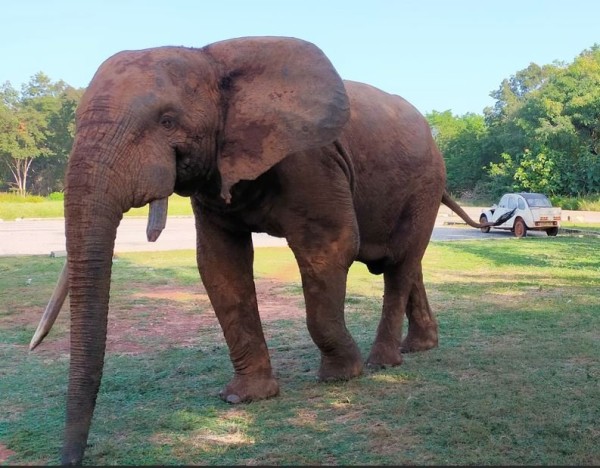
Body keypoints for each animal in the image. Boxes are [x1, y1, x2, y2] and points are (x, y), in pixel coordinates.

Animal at [29, 37, 492, 464]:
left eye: (167, 120)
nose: (71, 459)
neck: (211, 59)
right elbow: (219, 264)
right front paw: (244, 398)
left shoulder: (311, 160)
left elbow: (330, 246)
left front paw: (341, 376)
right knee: (408, 263)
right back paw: (420, 348)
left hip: (425, 183)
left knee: (399, 264)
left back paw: (384, 362)